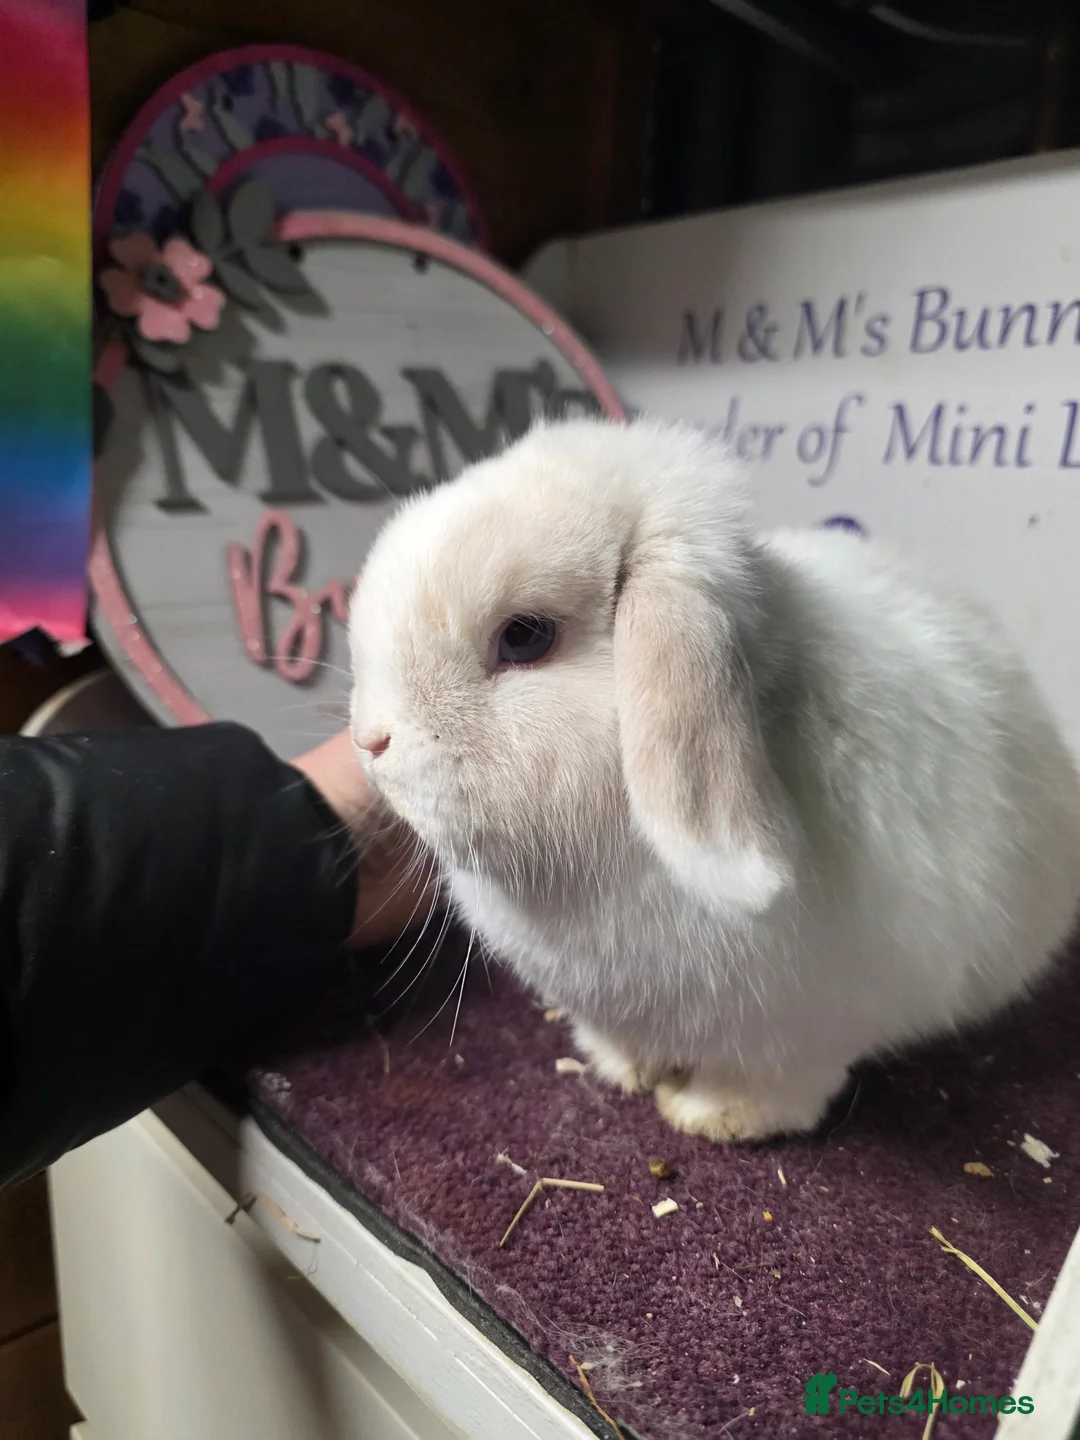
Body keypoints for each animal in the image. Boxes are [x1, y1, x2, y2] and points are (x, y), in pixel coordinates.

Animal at [347, 416, 1080, 1142]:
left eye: (525, 636)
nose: (370, 741)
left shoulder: (803, 1037)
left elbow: (774, 1087)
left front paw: (708, 1116)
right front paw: (622, 1070)